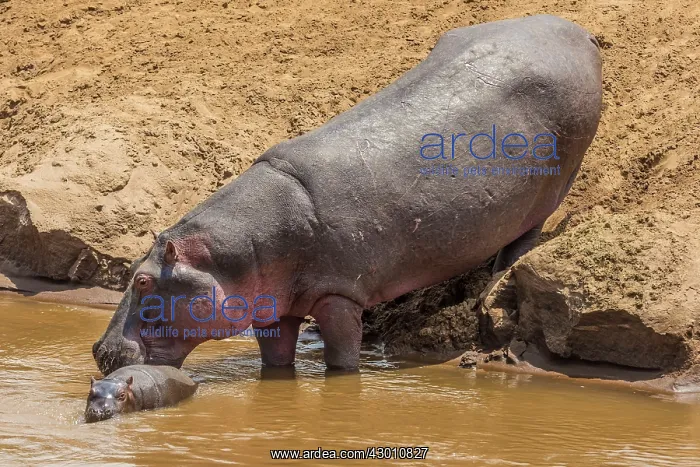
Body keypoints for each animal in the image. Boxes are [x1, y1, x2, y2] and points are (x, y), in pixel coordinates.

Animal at [93, 14, 602, 374]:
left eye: (143, 282)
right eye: (131, 272)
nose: (98, 350)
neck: (230, 255)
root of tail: (579, 33)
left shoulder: (339, 296)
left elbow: (341, 360)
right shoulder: (274, 308)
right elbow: (276, 359)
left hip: (559, 179)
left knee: (527, 232)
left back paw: (498, 272)